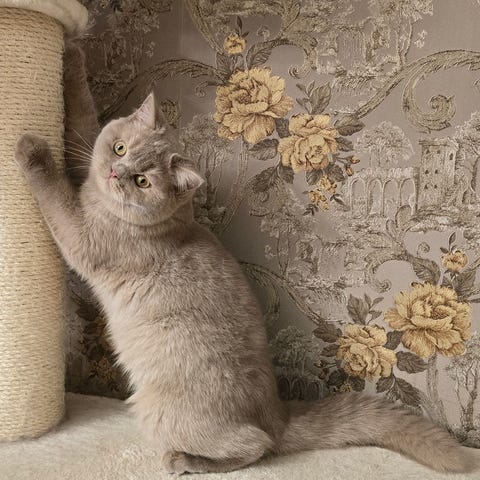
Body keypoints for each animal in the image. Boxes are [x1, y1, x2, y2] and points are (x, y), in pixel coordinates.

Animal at [14, 43, 473, 475]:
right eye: (120, 147)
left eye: (143, 181)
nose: (116, 174)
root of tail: (279, 415)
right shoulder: (86, 169)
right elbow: (81, 114)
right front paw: (72, 52)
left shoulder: (79, 236)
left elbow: (53, 192)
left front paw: (30, 149)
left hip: (159, 410)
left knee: (255, 447)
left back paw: (184, 460)